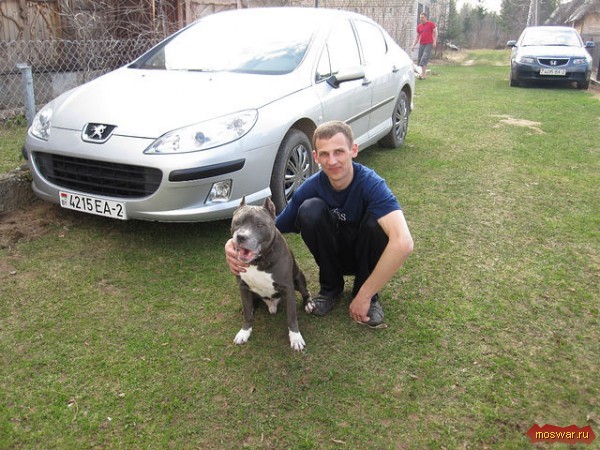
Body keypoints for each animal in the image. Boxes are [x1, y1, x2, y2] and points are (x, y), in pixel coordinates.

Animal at [231, 197, 311, 351]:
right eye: (237, 222)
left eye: (259, 224)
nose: (241, 237)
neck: (258, 261)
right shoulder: (243, 286)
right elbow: (248, 315)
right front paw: (244, 331)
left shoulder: (288, 288)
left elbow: (291, 317)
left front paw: (295, 337)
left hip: (299, 277)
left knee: (306, 292)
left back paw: (309, 304)